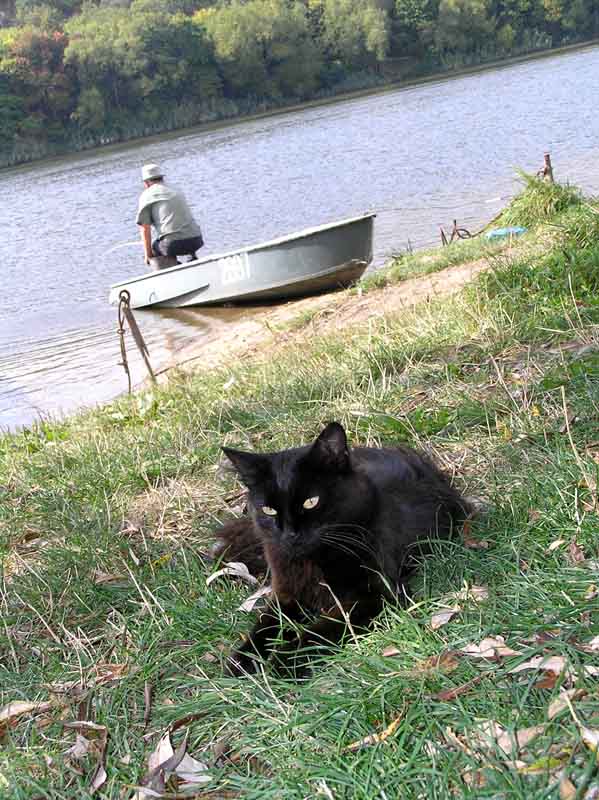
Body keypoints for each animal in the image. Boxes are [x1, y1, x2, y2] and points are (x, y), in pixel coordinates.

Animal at [216, 422, 474, 680]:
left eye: (311, 502)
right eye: (268, 510)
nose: (289, 534)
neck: (314, 560)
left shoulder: (377, 595)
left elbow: (319, 631)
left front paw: (286, 660)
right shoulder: (287, 594)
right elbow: (264, 626)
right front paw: (243, 658)